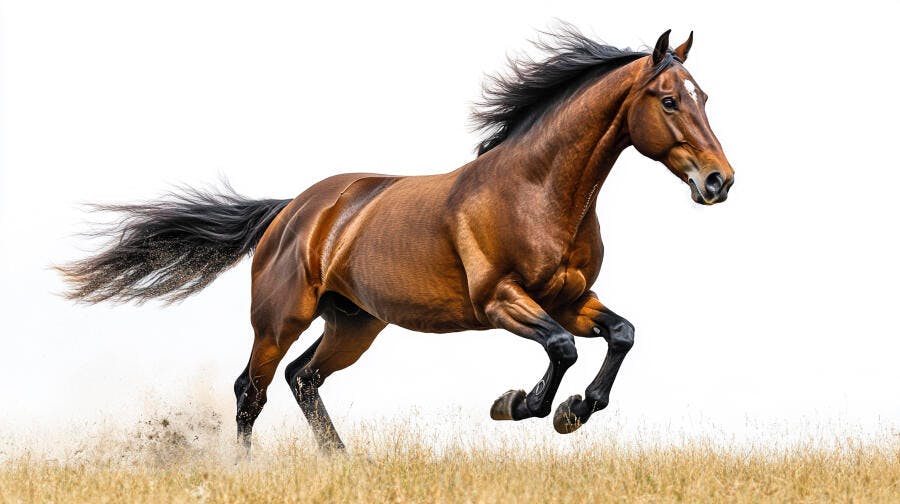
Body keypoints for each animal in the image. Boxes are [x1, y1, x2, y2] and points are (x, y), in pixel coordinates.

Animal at [59, 27, 734, 452]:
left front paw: (575, 410)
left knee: (303, 379)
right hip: (280, 320)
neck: (536, 192)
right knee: (252, 388)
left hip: (354, 323)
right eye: (669, 100)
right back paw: (247, 469)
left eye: (704, 97)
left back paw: (341, 460)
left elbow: (620, 334)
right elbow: (563, 349)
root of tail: (291, 212)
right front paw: (518, 404)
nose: (719, 180)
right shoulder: (501, 302)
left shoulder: (569, 299)